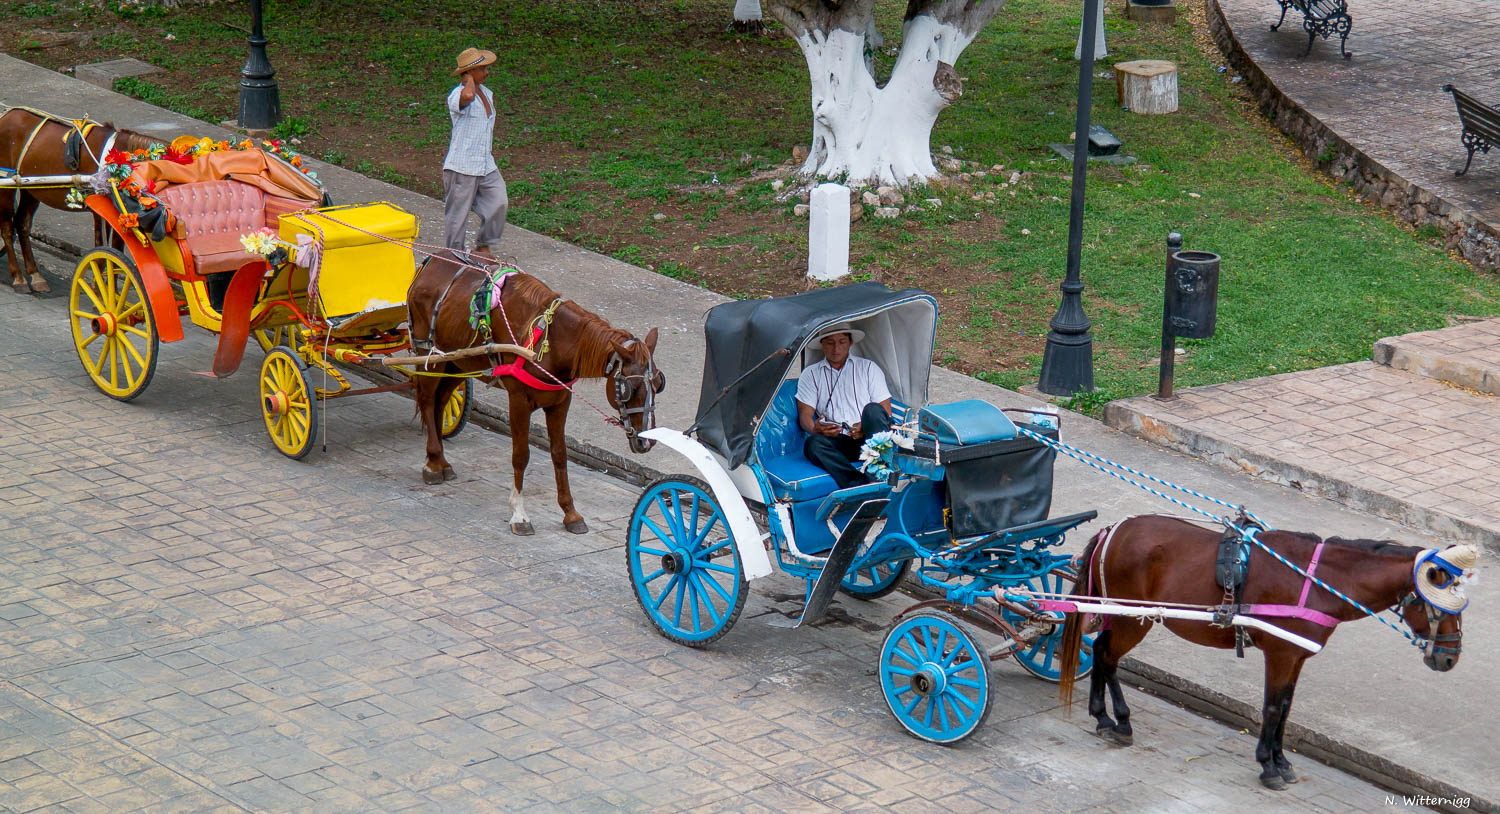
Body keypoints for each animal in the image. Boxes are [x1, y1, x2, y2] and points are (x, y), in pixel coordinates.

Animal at [0, 106, 161, 295]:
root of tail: (7, 115)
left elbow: (114, 249)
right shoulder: (101, 210)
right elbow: (104, 249)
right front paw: (101, 290)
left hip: (31, 188)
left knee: (22, 224)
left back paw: (35, 275)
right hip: (6, 184)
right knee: (7, 228)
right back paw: (18, 277)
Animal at [411, 251, 669, 539]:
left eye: (659, 384)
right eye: (628, 388)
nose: (646, 441)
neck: (553, 340)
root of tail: (431, 261)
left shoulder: (560, 402)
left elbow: (559, 454)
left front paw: (570, 512)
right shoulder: (518, 401)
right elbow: (521, 456)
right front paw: (519, 514)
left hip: (457, 362)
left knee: (440, 403)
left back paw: (440, 461)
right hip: (429, 354)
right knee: (427, 399)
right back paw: (433, 463)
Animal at [1056, 515, 1476, 791]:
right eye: (1442, 606)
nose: (1450, 658)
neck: (1321, 582)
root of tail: (1113, 530)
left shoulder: (1296, 657)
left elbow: (1286, 707)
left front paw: (1281, 760)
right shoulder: (1281, 654)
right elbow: (1273, 707)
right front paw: (1268, 766)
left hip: (1121, 615)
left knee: (1102, 652)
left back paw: (1103, 716)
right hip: (1134, 618)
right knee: (1108, 657)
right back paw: (1119, 722)